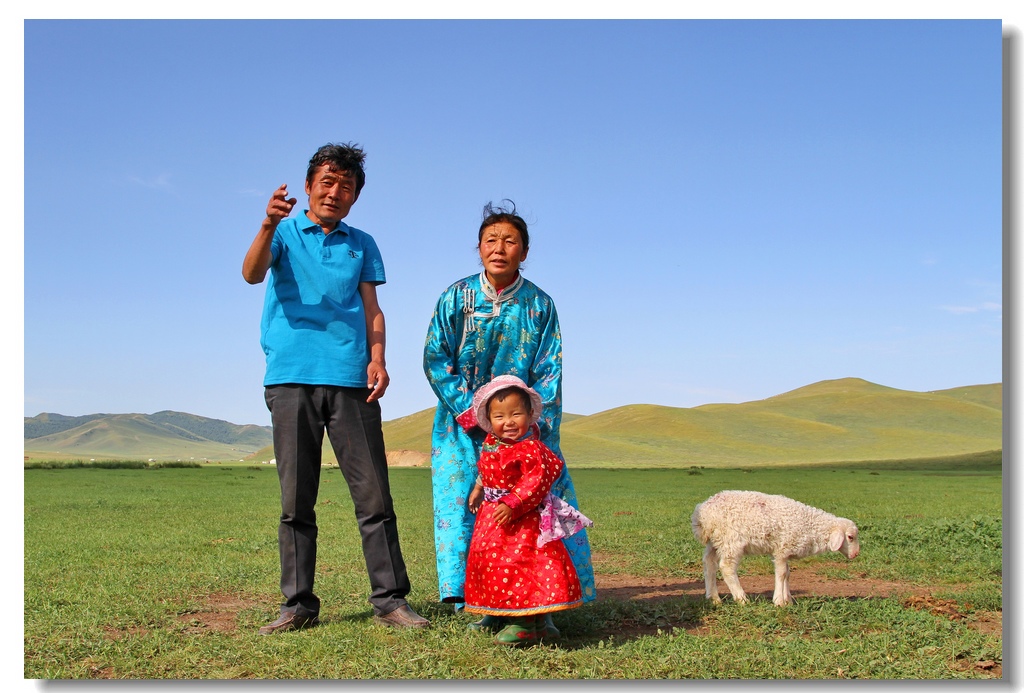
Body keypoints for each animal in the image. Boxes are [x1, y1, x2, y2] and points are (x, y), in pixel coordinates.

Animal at [692, 487, 860, 605]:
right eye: (850, 537)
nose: (856, 554)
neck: (810, 525)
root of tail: (703, 513)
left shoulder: (785, 552)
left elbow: (787, 573)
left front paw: (788, 600)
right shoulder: (782, 549)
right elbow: (782, 574)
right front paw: (779, 601)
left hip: (715, 541)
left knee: (709, 563)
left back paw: (713, 598)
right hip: (731, 541)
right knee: (726, 567)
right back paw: (742, 599)